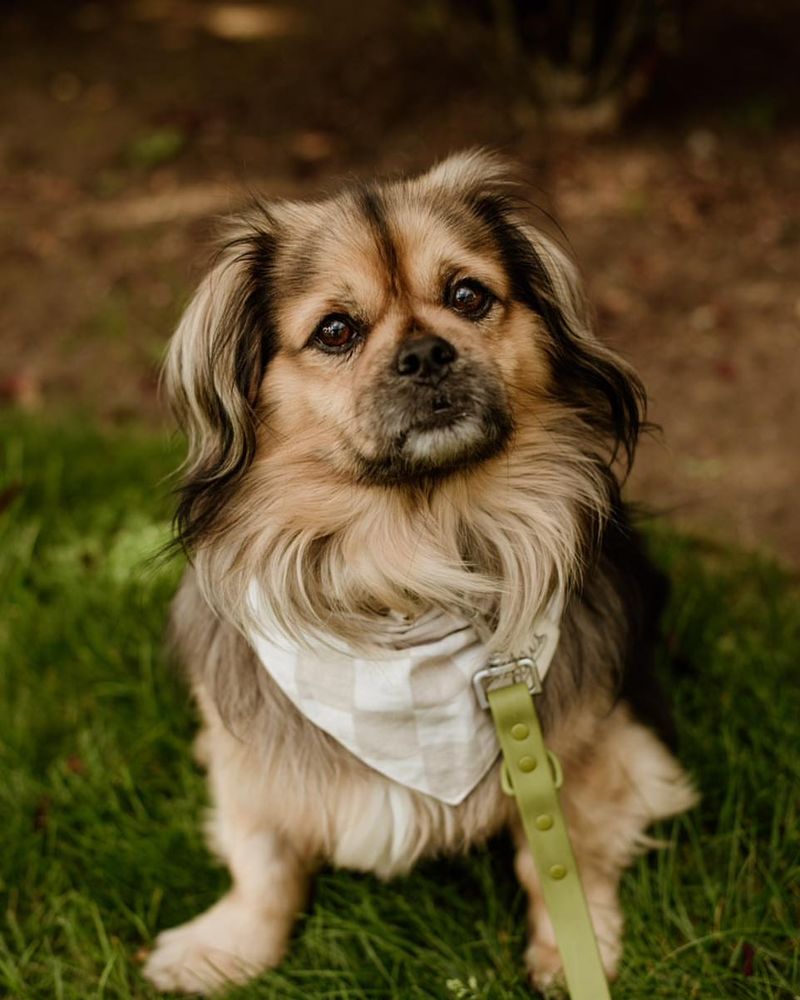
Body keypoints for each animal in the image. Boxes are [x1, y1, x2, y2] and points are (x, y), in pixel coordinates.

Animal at [142, 152, 692, 996]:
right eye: (336, 331)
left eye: (469, 296)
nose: (429, 353)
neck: (408, 569)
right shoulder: (251, 762)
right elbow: (264, 864)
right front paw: (225, 947)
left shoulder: (591, 743)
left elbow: (562, 855)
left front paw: (576, 949)